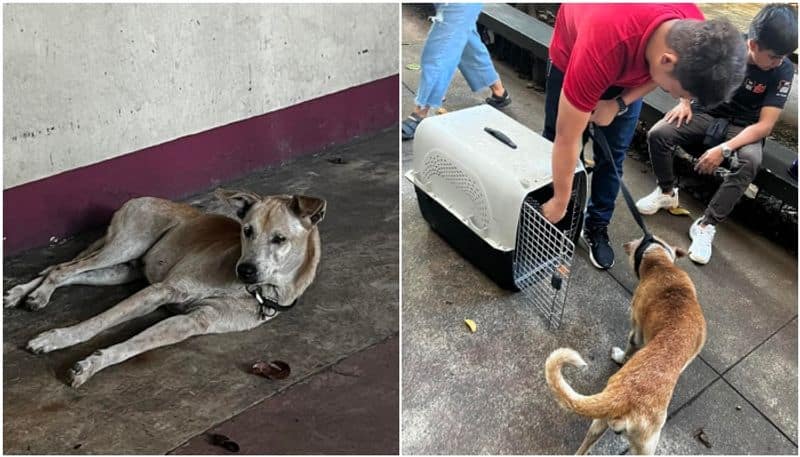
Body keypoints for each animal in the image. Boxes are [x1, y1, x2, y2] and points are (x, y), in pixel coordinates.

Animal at [544, 235, 708, 452]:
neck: (662, 266)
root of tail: (623, 397)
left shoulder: (636, 330)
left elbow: (629, 347)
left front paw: (620, 357)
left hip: (602, 424)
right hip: (644, 443)